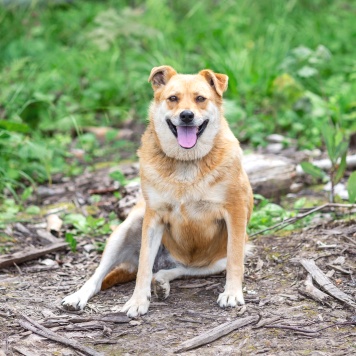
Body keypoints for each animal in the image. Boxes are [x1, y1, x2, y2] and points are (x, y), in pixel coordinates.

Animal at [62, 66, 254, 318]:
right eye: (173, 98)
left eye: (200, 98)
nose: (186, 116)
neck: (185, 162)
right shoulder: (153, 218)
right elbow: (143, 266)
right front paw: (137, 301)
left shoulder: (235, 213)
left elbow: (234, 260)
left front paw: (232, 293)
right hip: (128, 226)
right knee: (100, 276)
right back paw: (78, 296)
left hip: (222, 256)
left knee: (184, 269)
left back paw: (162, 280)